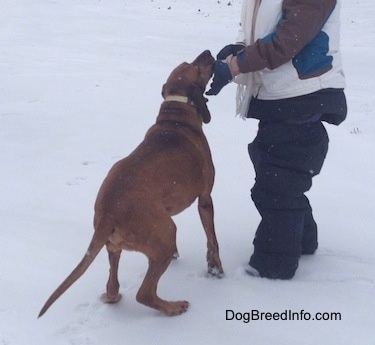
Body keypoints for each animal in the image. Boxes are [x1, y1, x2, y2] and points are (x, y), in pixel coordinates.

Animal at [39, 49, 223, 316]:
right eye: (195, 66)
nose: (208, 53)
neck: (175, 116)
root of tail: (108, 213)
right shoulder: (205, 198)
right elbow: (212, 240)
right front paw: (216, 269)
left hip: (115, 246)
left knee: (113, 286)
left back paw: (115, 296)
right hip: (166, 234)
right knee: (143, 294)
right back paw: (173, 307)